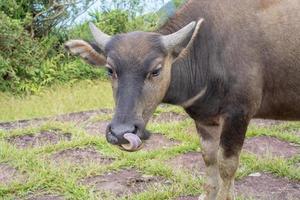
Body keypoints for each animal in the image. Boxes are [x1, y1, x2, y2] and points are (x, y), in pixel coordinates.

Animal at [64, 0, 298, 198]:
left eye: (156, 70)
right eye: (110, 70)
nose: (121, 133)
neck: (208, 54)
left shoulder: (239, 114)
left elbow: (227, 166)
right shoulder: (205, 120)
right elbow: (209, 158)